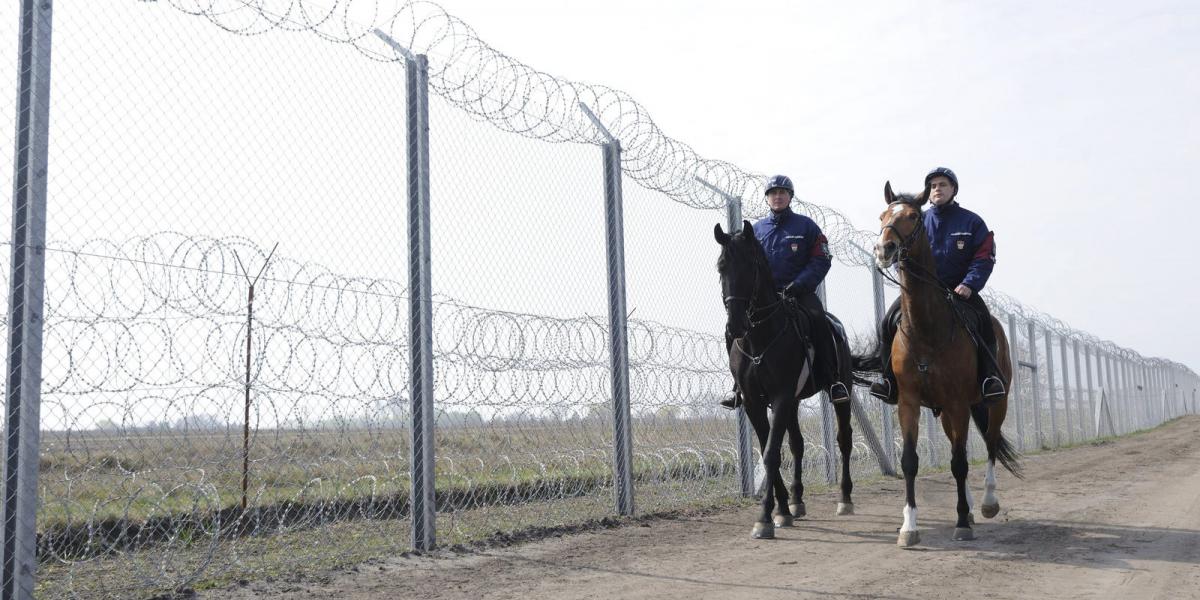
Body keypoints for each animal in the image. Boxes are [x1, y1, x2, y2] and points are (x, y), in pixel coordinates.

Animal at [868, 182, 1017, 549]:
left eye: (912, 216)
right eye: (882, 215)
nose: (884, 248)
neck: (927, 329)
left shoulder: (958, 402)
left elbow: (961, 463)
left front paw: (962, 523)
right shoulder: (909, 403)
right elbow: (911, 462)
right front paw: (909, 527)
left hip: (995, 403)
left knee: (990, 444)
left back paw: (986, 504)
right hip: (948, 413)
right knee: (957, 446)